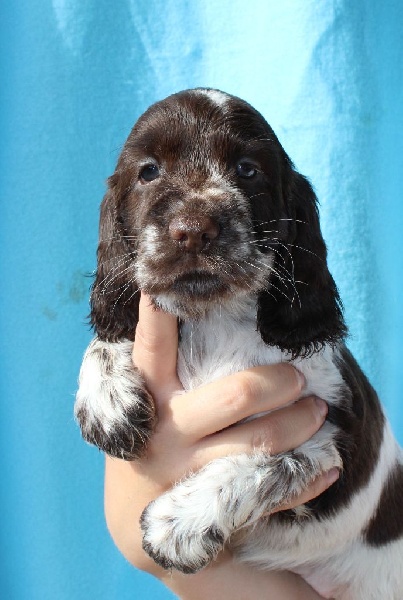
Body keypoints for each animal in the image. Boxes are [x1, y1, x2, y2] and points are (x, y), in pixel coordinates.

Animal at [74, 89, 402, 600]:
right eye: (149, 171)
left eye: (247, 169)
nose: (193, 230)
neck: (216, 322)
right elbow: (113, 332)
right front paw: (107, 401)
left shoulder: (334, 446)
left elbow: (265, 464)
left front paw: (178, 526)